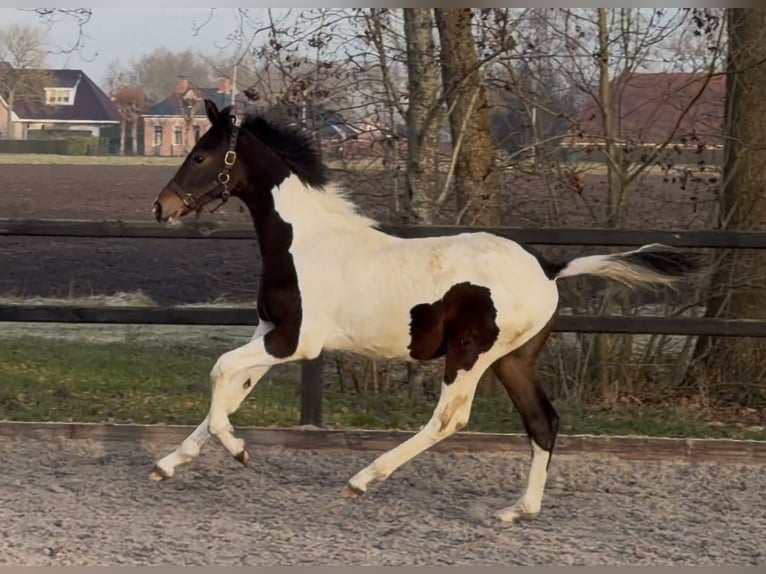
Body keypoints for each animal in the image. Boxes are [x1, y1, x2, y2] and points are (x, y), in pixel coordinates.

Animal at [150, 99, 702, 523]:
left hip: (470, 355)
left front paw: (238, 450)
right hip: (514, 360)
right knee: (542, 421)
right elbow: (234, 389)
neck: (303, 241)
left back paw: (363, 479)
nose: (162, 208)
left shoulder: (294, 342)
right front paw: (170, 463)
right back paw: (516, 511)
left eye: (200, 155)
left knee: (449, 419)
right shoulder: (269, 331)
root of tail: (549, 268)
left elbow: (221, 372)